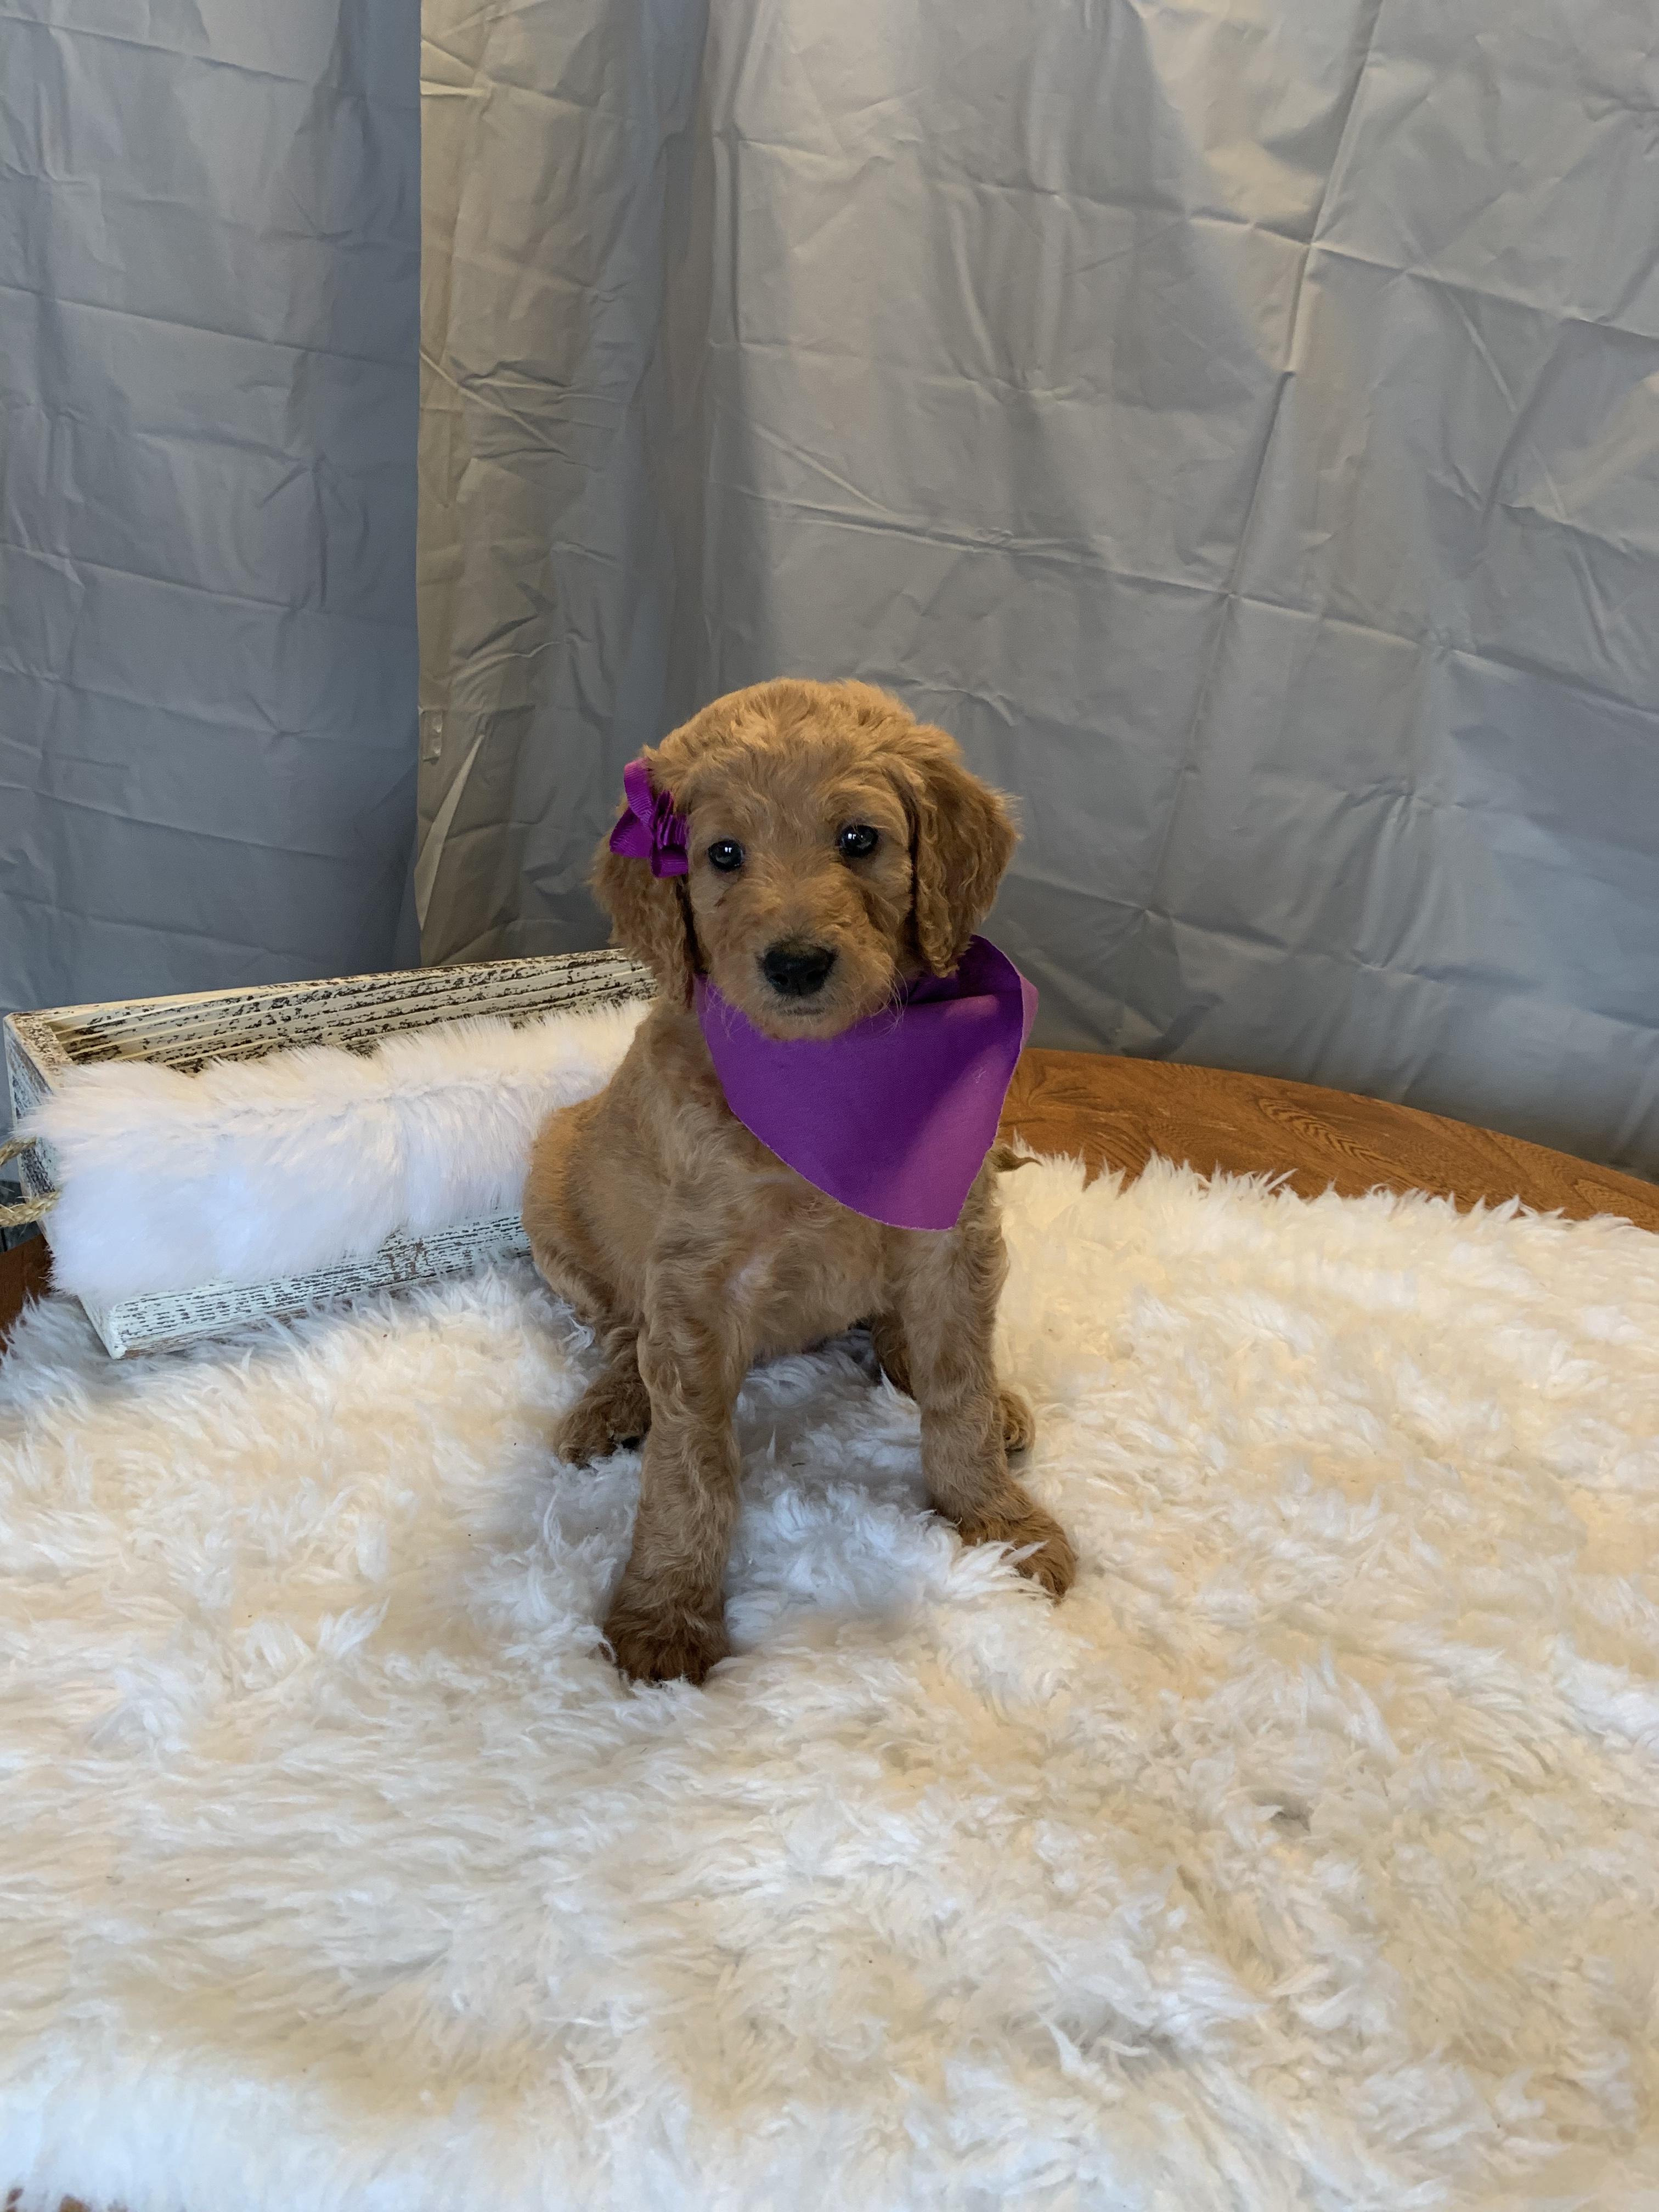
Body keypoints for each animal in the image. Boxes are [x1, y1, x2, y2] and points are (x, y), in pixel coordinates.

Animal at [523, 678, 1075, 1683]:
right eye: (722, 855)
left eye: (858, 839)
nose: (795, 964)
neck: (830, 1075)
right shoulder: (697, 1280)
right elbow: (690, 1463)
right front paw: (665, 1613)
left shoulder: (953, 1233)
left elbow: (959, 1391)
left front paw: (998, 1525)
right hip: (550, 1187)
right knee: (621, 1332)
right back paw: (614, 1403)